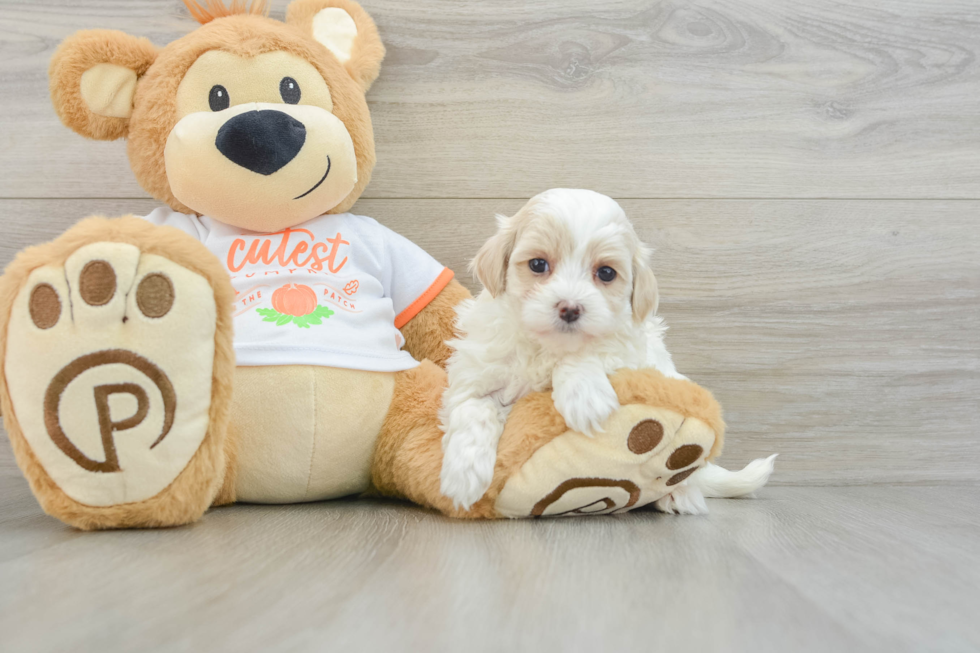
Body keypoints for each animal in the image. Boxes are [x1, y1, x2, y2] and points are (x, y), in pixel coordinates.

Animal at [440, 187, 776, 510]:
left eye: (606, 273)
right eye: (537, 264)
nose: (570, 308)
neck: (545, 347)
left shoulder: (634, 350)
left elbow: (590, 350)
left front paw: (584, 397)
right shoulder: (475, 373)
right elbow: (473, 409)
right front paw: (463, 475)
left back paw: (680, 494)